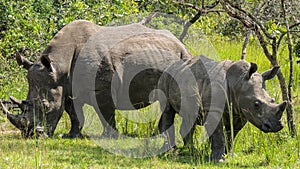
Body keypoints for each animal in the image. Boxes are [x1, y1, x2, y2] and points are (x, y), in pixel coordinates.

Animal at [157, 54, 286, 162]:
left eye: (272, 100)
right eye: (256, 104)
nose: (277, 126)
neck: (237, 83)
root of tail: (171, 65)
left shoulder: (241, 112)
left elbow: (232, 134)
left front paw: (230, 155)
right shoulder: (214, 109)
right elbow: (218, 135)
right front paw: (218, 160)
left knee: (189, 117)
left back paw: (191, 150)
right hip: (166, 77)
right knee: (168, 111)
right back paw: (171, 150)